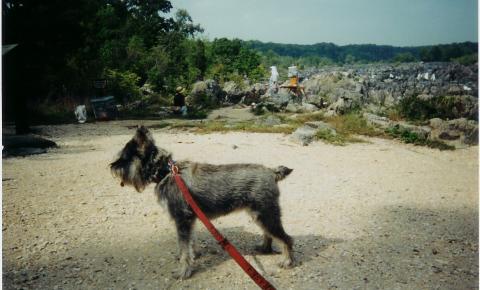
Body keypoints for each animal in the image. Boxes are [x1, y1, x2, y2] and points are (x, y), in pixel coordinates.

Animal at [110, 126, 294, 278]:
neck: (165, 172)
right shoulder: (189, 220)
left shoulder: (182, 220)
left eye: (124, 158)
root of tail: (271, 171)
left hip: (266, 214)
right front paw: (192, 256)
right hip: (260, 214)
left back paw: (287, 261)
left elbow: (184, 247)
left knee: (286, 238)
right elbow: (190, 243)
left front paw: (184, 271)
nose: (112, 167)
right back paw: (265, 248)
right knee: (268, 233)